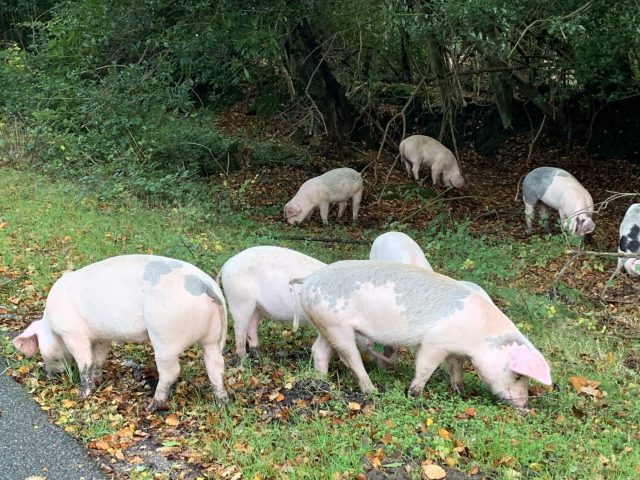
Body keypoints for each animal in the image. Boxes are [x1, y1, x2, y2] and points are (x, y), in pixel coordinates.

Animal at [12, 255, 228, 411]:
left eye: (40, 348)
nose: (49, 376)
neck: (51, 324)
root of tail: (205, 286)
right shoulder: (101, 337)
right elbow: (98, 358)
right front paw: (98, 380)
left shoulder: (73, 333)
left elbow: (85, 362)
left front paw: (83, 394)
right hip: (213, 338)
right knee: (216, 365)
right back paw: (221, 403)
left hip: (166, 335)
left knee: (172, 371)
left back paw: (151, 407)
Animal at [297, 261, 551, 409]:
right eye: (517, 376)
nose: (525, 407)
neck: (479, 334)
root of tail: (309, 280)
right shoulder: (434, 343)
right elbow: (425, 367)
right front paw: (414, 394)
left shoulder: (454, 350)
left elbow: (456, 369)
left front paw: (460, 392)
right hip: (336, 325)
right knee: (350, 357)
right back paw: (372, 391)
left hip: (326, 324)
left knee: (319, 350)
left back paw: (322, 382)